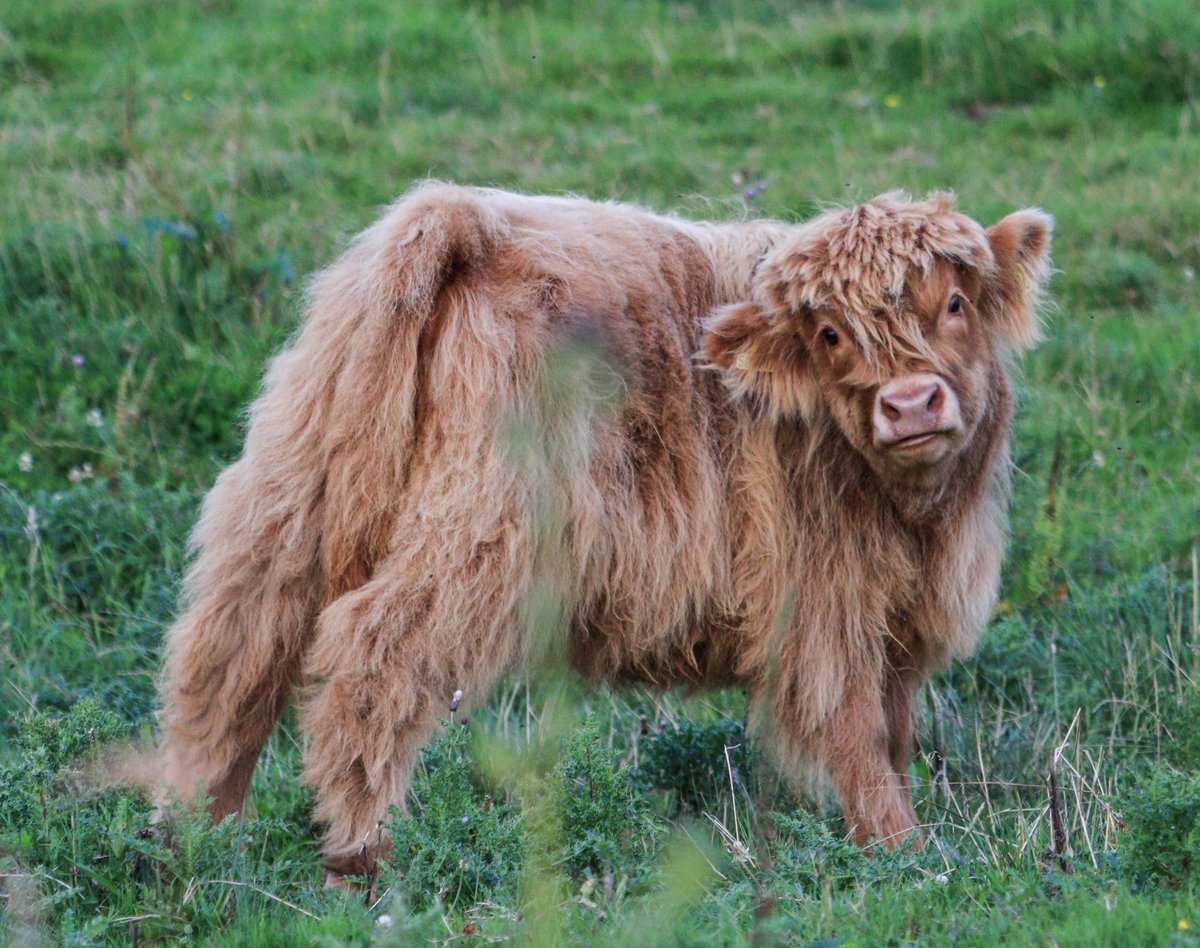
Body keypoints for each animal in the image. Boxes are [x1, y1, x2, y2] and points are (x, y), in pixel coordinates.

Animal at [154, 183, 1052, 882]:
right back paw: (360, 858)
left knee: (233, 649)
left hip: (297, 494)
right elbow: (859, 732)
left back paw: (195, 837)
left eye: (955, 304)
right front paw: (906, 856)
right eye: (831, 334)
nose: (909, 403)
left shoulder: (893, 619)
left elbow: (895, 731)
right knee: (370, 654)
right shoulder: (822, 605)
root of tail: (465, 219)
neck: (919, 519)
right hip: (487, 529)